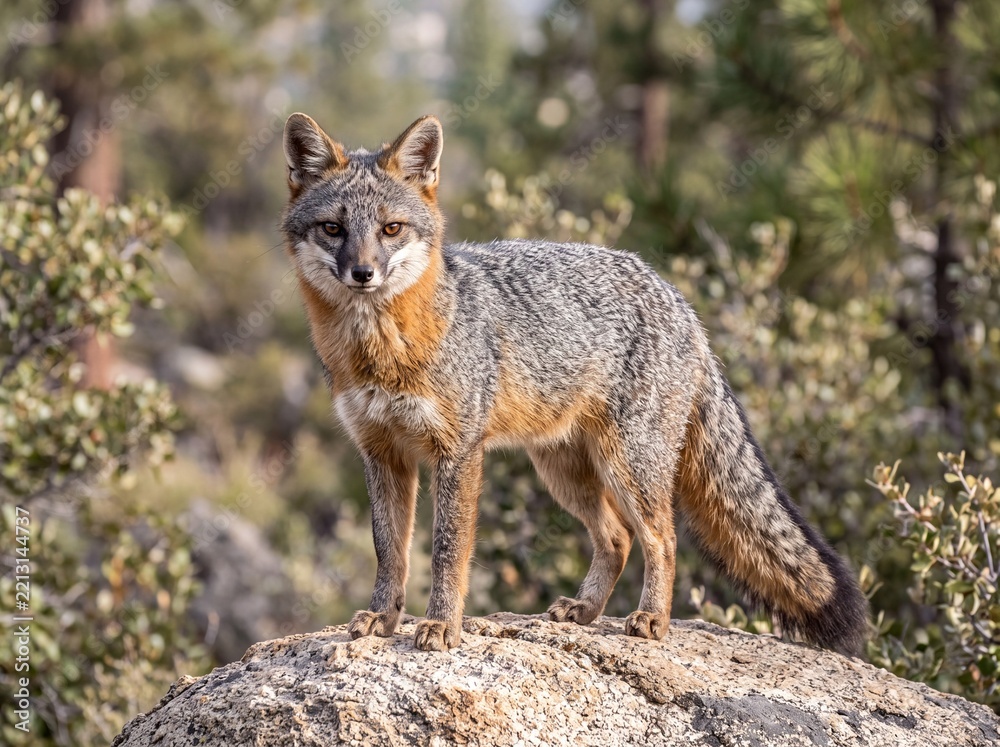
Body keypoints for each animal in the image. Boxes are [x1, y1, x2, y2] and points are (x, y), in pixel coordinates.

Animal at [280, 112, 869, 654]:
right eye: (333, 229)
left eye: (391, 229)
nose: (363, 273)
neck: (384, 350)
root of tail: (680, 300)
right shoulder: (382, 452)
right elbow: (390, 550)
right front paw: (384, 618)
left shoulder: (459, 452)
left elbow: (447, 550)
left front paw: (442, 625)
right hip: (563, 471)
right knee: (617, 538)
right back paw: (585, 610)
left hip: (628, 466)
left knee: (662, 537)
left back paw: (652, 619)